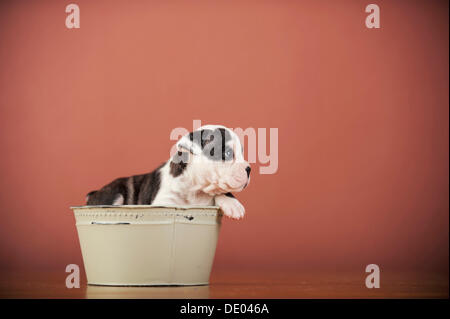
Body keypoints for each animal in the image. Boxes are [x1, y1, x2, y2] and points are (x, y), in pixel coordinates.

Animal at [86, 125, 251, 220]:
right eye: (228, 153)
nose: (249, 168)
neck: (196, 188)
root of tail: (93, 193)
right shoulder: (164, 202)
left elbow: (219, 191)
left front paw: (231, 202)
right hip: (115, 194)